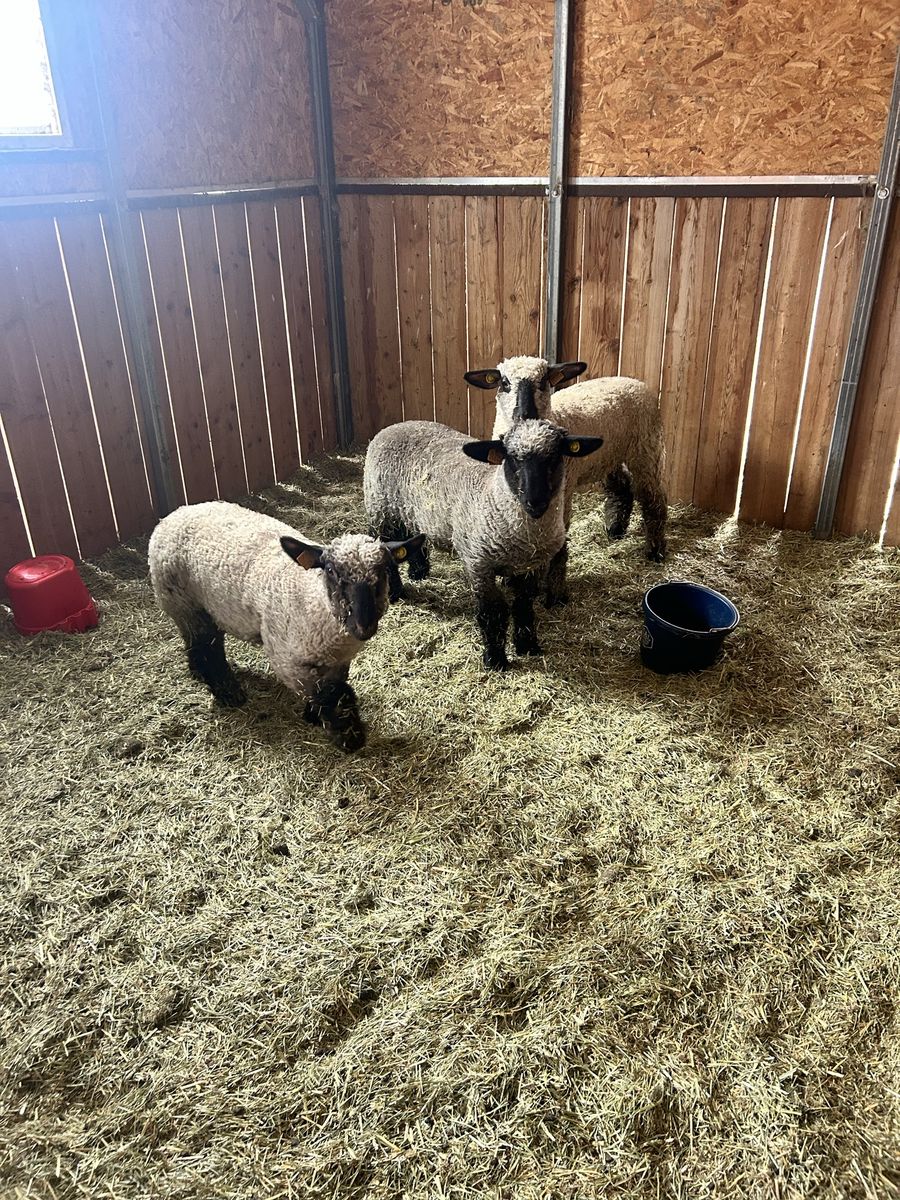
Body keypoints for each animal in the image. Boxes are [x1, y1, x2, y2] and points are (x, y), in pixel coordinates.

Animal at [148, 501, 423, 752]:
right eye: (330, 570)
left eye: (385, 570)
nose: (363, 626)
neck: (314, 602)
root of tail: (173, 515)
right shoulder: (287, 660)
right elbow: (330, 694)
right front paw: (348, 736)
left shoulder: (338, 660)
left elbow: (331, 687)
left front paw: (313, 716)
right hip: (185, 603)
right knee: (207, 647)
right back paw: (228, 693)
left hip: (200, 608)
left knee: (197, 642)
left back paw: (198, 673)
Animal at [363, 418, 603, 671]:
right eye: (512, 457)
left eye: (555, 455)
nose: (535, 502)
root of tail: (396, 425)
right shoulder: (479, 565)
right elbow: (492, 612)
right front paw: (495, 660)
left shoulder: (531, 566)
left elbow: (523, 605)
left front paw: (528, 646)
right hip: (380, 509)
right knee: (383, 544)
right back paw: (395, 592)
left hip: (412, 511)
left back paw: (419, 572)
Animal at [465, 356, 668, 604]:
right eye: (504, 383)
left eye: (544, 380)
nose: (525, 413)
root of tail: (634, 381)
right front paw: (512, 577)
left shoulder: (560, 493)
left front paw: (551, 592)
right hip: (609, 455)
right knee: (621, 488)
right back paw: (615, 529)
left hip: (646, 449)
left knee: (653, 499)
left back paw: (655, 551)